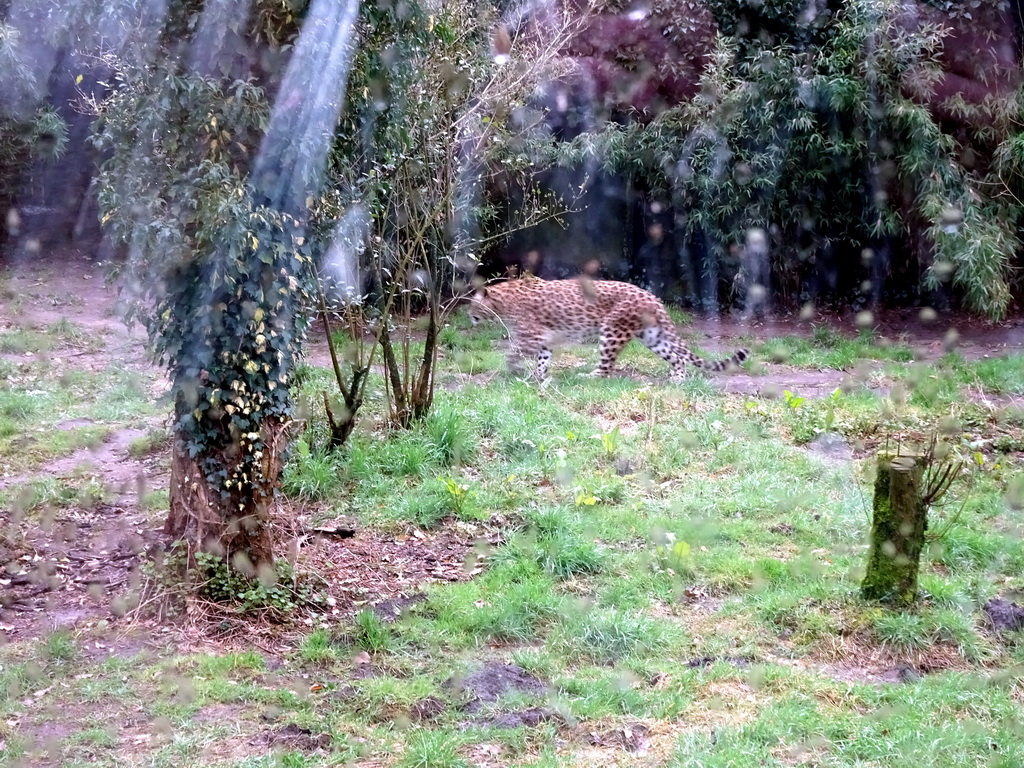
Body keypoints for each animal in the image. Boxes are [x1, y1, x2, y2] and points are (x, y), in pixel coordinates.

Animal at [468, 278, 749, 382]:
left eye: (472, 303)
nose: (468, 315)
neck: (502, 303)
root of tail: (652, 297)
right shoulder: (544, 339)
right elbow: (542, 359)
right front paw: (539, 377)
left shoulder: (531, 336)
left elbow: (512, 353)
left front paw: (513, 371)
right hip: (651, 336)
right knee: (677, 356)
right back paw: (677, 378)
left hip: (612, 330)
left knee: (606, 367)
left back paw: (588, 376)